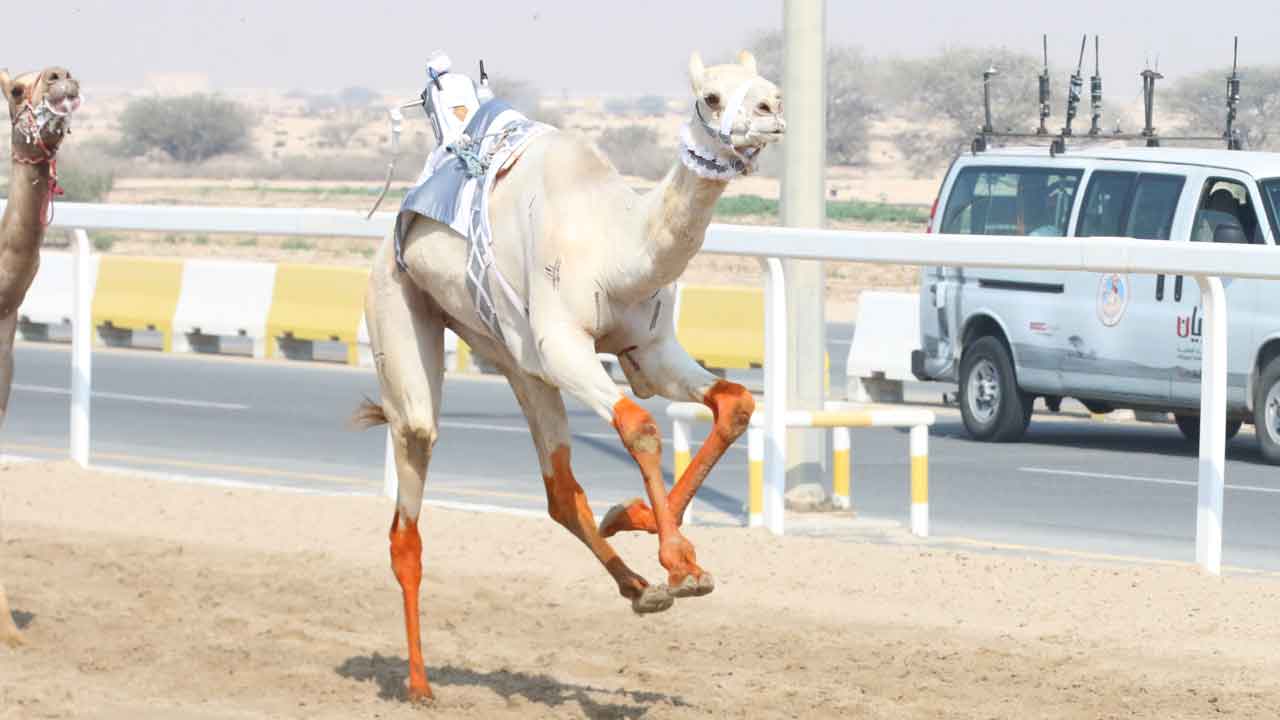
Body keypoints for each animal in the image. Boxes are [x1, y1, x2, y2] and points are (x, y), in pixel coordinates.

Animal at [354, 50, 783, 701]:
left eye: (769, 88)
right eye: (710, 96)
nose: (770, 111)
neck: (615, 248)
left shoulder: (649, 347)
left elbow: (734, 403)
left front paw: (633, 520)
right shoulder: (564, 346)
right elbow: (638, 426)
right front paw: (680, 563)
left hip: (509, 355)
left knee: (559, 490)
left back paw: (638, 589)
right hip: (400, 304)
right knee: (412, 483)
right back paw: (421, 685)